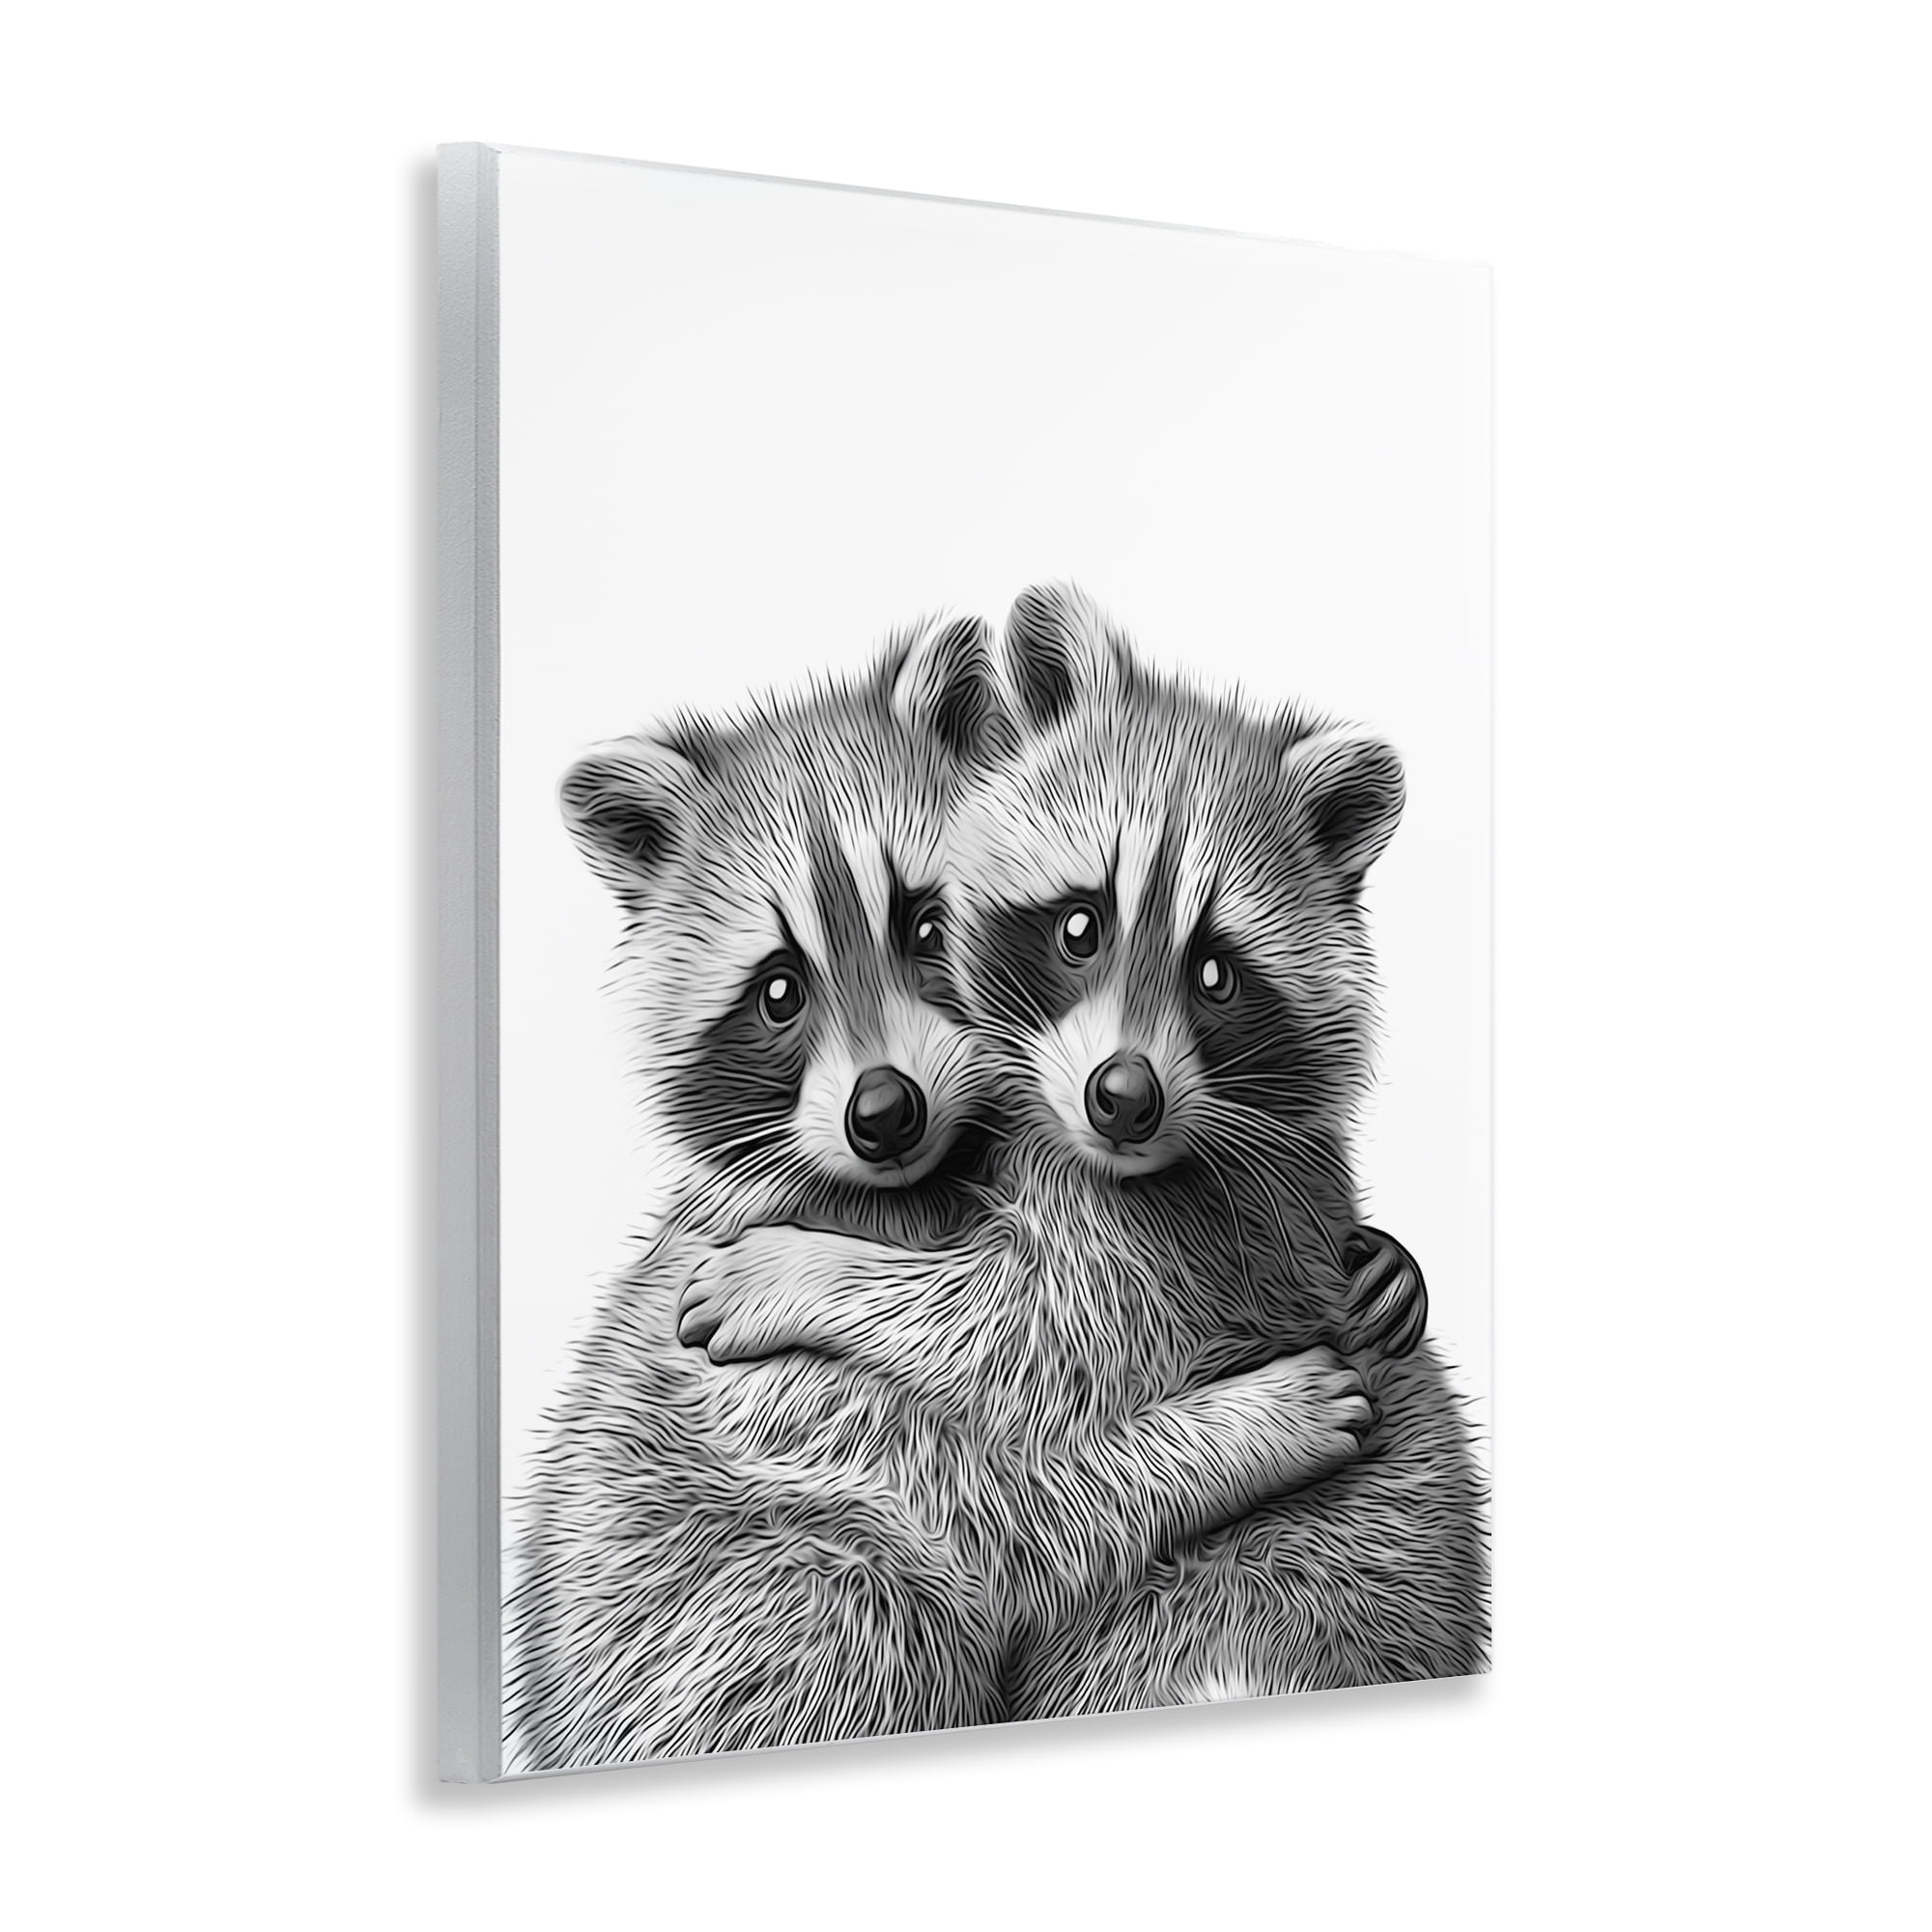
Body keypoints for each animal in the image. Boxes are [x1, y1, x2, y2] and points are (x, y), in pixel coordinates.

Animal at [506, 612, 1376, 1772]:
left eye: (924, 929)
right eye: (777, 990)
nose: (885, 1112)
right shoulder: (752, 1390)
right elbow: (996, 1518)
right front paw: (1236, 1433)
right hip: (746, 1631)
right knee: (851, 1599)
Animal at [683, 585, 1486, 1719]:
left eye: (1214, 972)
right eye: (1079, 926)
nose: (1124, 1099)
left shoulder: (1184, 1237)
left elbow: (1017, 1329)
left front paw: (800, 1271)